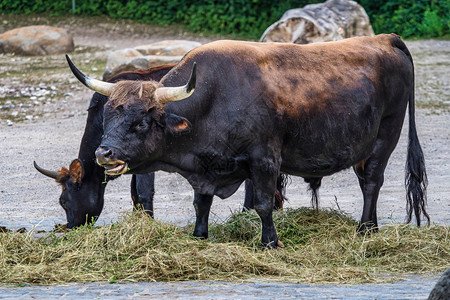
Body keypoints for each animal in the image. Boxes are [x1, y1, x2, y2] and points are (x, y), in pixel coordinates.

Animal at [65, 34, 428, 248]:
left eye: (141, 122)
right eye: (107, 117)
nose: (103, 152)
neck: (214, 95)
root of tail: (384, 38)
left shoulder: (264, 160)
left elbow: (263, 204)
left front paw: (270, 242)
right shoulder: (205, 166)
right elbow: (201, 203)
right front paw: (200, 235)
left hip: (386, 135)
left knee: (372, 182)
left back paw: (365, 230)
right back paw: (372, 228)